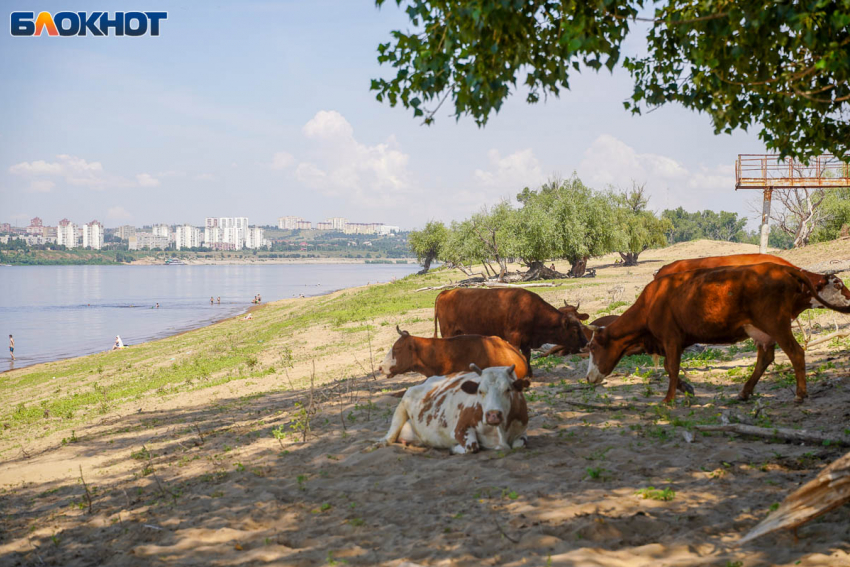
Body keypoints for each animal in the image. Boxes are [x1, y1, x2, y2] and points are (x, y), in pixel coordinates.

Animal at [374, 366, 528, 454]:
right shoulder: (460, 429)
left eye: (508, 389)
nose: (493, 415)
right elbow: (472, 447)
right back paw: (380, 443)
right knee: (391, 433)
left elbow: (520, 444)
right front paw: (454, 448)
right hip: (404, 402)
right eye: (480, 391)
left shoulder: (522, 432)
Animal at [434, 288, 588, 368]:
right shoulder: (514, 339)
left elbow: (527, 356)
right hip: (447, 332)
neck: (532, 310)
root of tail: (447, 291)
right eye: (575, 330)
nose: (586, 342)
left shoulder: (527, 341)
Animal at [584, 266, 848, 404]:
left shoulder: (671, 339)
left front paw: (668, 399)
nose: (588, 378)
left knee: (796, 353)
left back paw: (800, 393)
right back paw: (744, 391)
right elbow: (670, 368)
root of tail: (784, 268)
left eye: (593, 348)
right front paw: (685, 389)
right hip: (762, 331)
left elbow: (672, 368)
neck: (652, 301)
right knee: (765, 359)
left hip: (777, 325)